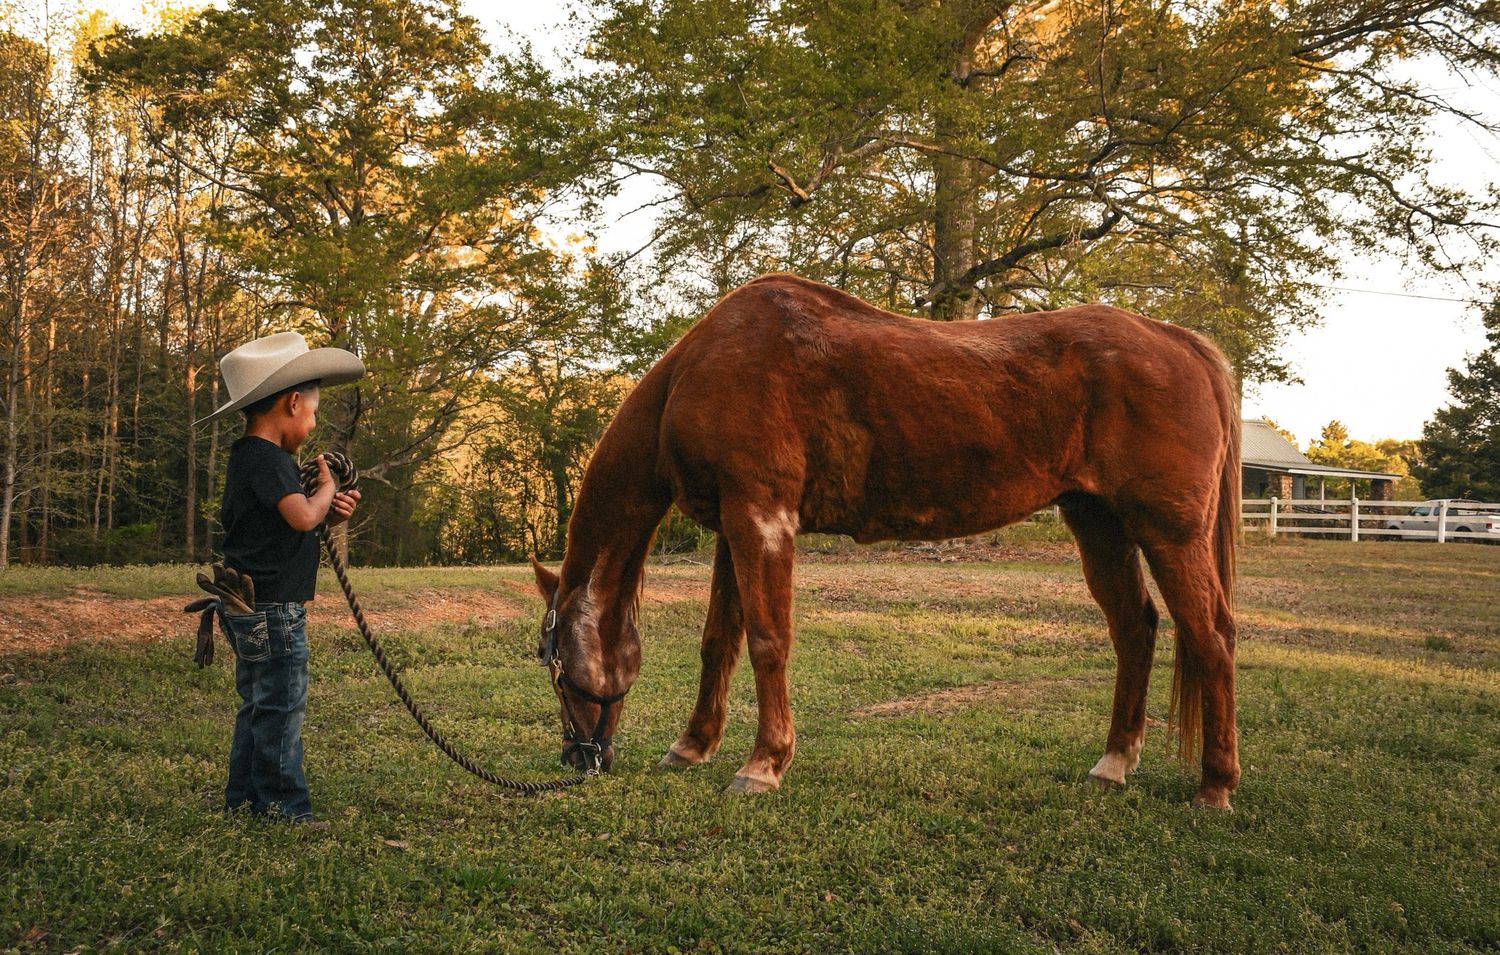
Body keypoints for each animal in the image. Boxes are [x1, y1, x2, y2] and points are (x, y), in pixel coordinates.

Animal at [530, 272, 1241, 809]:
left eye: (553, 662)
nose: (577, 759)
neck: (702, 369)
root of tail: (1177, 341)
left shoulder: (762, 518)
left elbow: (767, 643)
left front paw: (763, 765)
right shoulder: (734, 529)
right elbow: (719, 644)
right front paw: (693, 745)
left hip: (1170, 532)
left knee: (1210, 636)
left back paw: (1215, 786)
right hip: (1100, 524)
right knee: (1135, 630)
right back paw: (1114, 763)